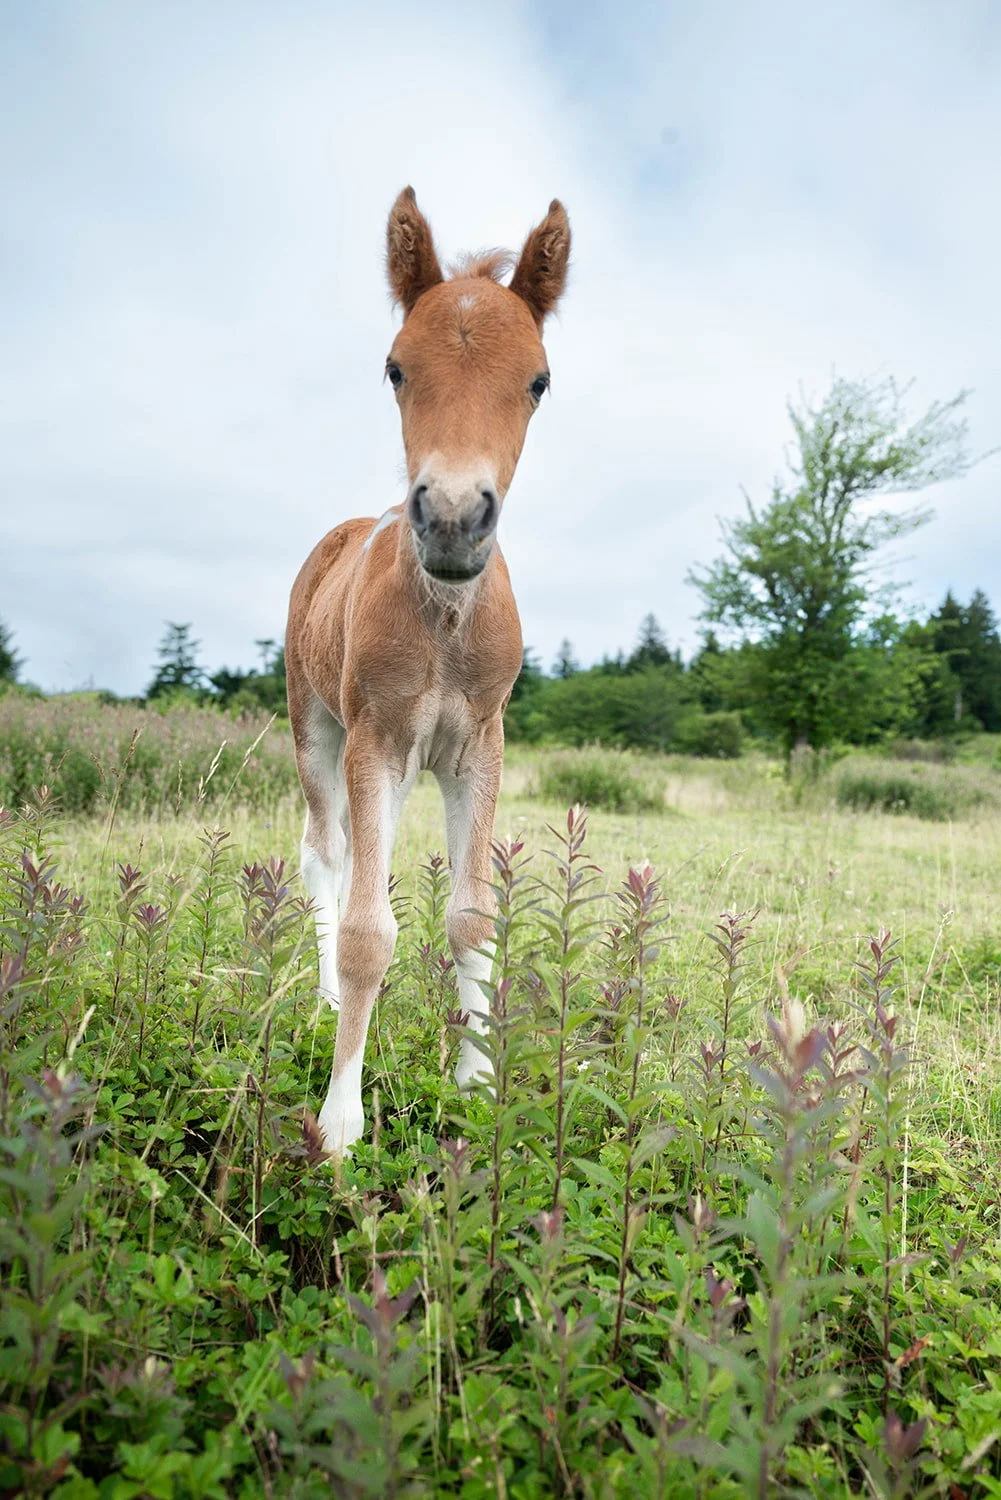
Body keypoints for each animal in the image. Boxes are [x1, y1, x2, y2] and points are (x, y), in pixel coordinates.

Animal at [286, 187, 570, 1152]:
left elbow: (472, 915)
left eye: (539, 381)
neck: (445, 623)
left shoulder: (477, 745)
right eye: (394, 369)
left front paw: (477, 1085)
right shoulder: (372, 740)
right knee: (325, 852)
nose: (450, 518)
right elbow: (368, 932)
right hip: (317, 729)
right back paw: (322, 995)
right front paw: (339, 1120)